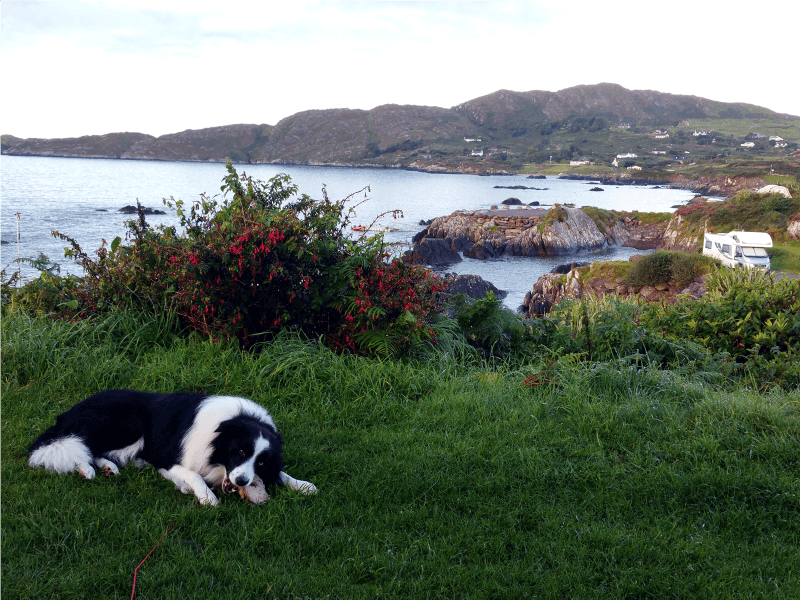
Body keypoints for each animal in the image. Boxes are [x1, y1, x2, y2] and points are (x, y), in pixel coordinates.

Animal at [31, 390, 318, 506]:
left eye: (260, 461)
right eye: (240, 452)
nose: (242, 481)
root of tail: (72, 411)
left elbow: (280, 473)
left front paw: (302, 485)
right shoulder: (167, 456)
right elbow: (193, 475)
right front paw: (206, 497)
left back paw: (111, 467)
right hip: (129, 423)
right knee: (79, 446)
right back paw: (87, 469)